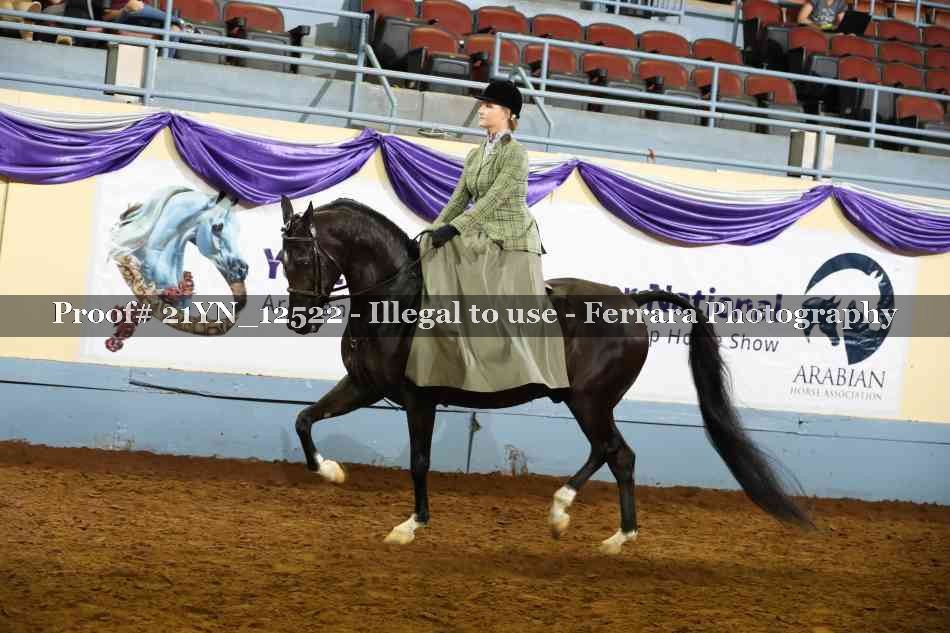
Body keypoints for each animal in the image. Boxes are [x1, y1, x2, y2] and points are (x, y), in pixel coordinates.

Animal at [280, 197, 813, 553]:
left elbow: (418, 461)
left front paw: (410, 526)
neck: (398, 300)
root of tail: (630, 302)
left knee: (613, 451)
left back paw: (571, 515)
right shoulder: (365, 386)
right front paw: (330, 471)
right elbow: (304, 419)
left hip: (589, 399)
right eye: (282, 259)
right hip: (589, 401)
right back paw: (608, 533)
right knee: (615, 454)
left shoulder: (419, 399)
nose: (299, 321)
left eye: (303, 256)